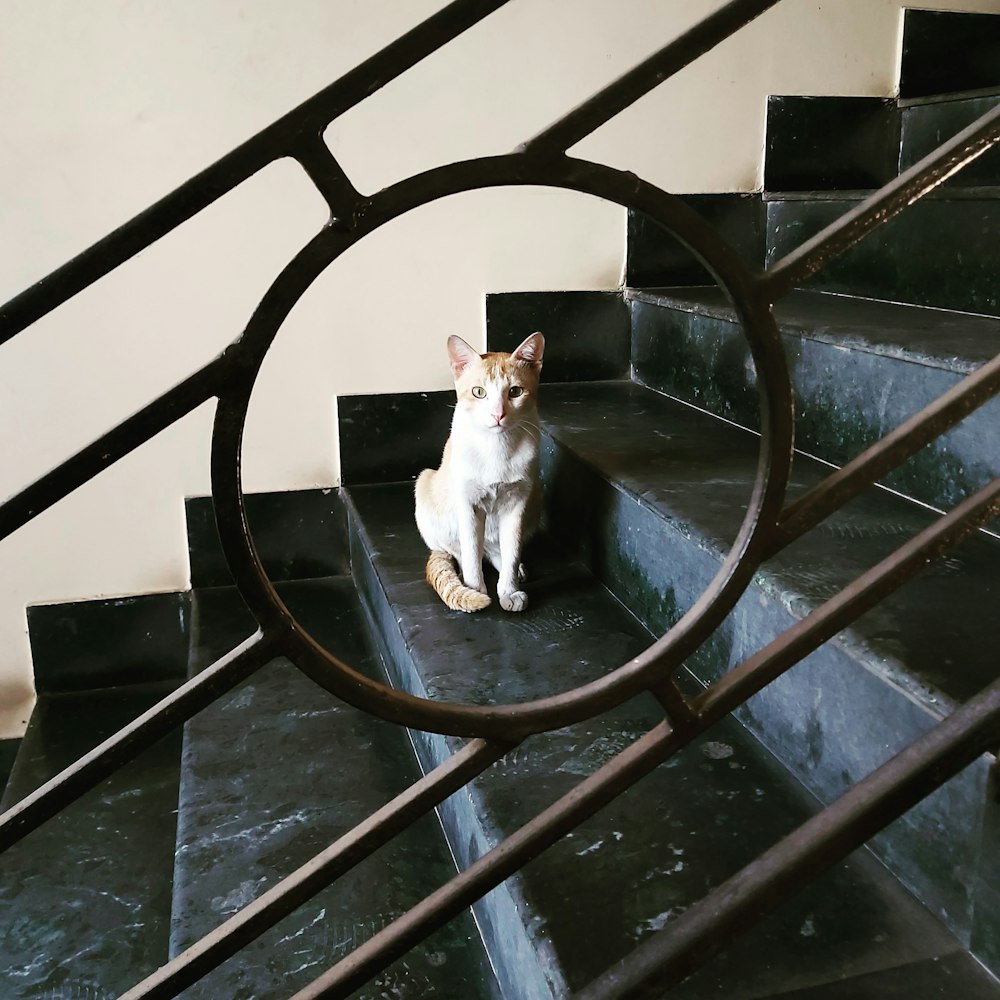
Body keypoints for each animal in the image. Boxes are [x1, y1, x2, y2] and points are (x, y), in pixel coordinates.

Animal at [416, 332, 548, 608]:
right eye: (479, 392)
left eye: (515, 391)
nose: (498, 415)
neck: (497, 448)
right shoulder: (468, 504)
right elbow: (471, 554)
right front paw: (475, 590)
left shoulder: (517, 502)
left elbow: (511, 551)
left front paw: (508, 591)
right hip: (424, 484)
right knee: (461, 551)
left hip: (537, 497)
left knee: (499, 551)